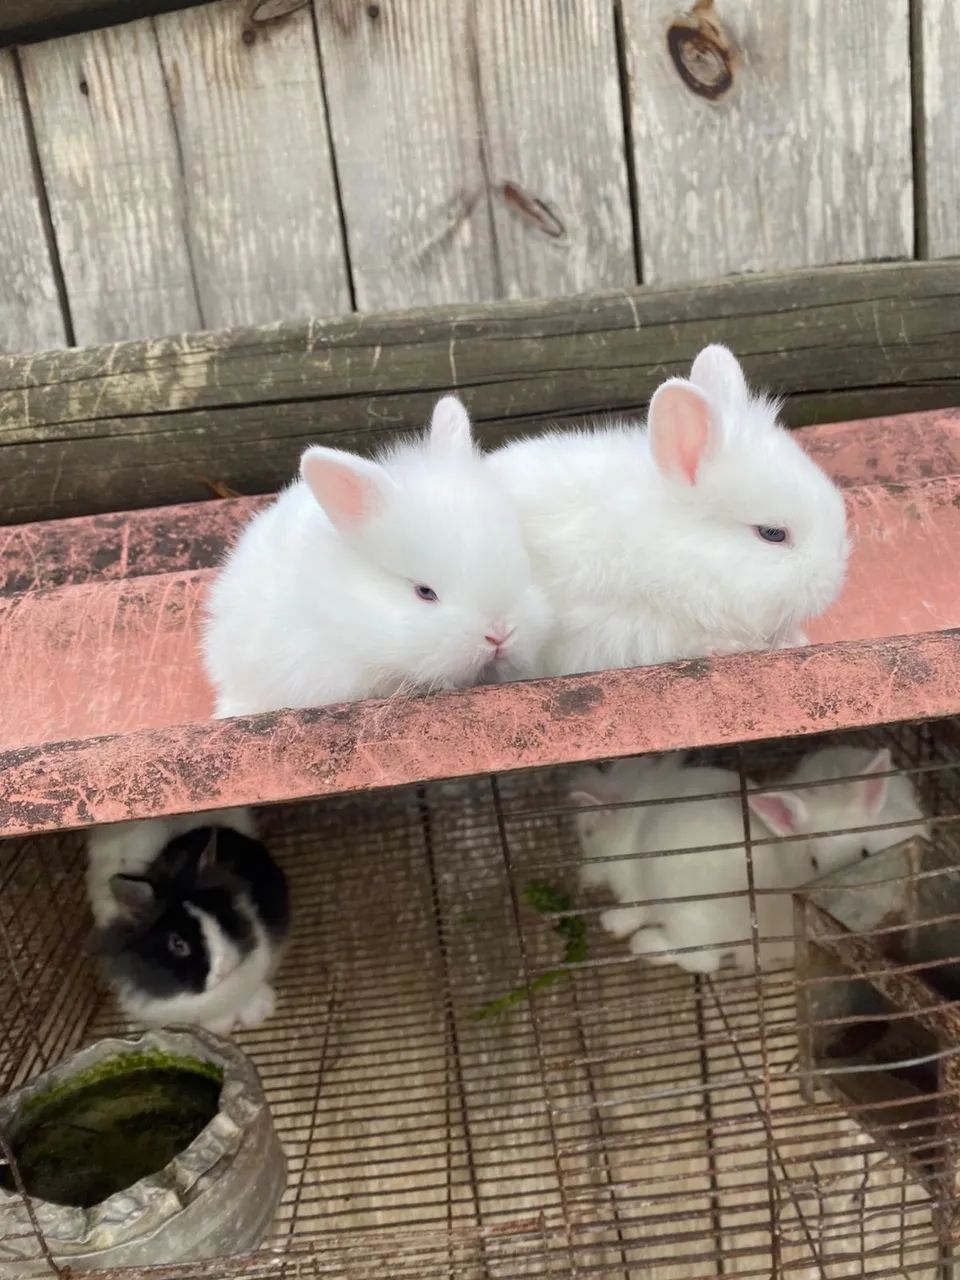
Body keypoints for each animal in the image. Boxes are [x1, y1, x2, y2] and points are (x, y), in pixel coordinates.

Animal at [570, 745, 926, 975]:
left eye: (587, 833)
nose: (583, 873)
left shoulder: (638, 888)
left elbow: (632, 909)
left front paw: (610, 923)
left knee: (701, 959)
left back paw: (644, 945)